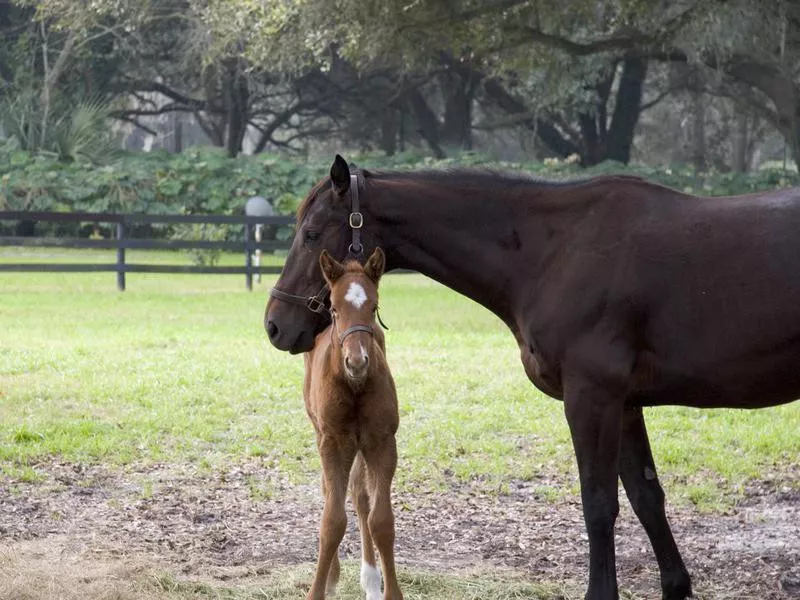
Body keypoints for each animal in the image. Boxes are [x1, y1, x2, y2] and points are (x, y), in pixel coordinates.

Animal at [304, 246, 404, 596]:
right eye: (334, 308)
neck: (355, 386)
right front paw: (317, 590)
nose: (357, 361)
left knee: (361, 498)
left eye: (373, 307)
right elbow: (331, 521)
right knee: (329, 492)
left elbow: (381, 520)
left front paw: (390, 592)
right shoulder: (333, 442)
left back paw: (371, 579)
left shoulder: (382, 442)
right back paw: (333, 576)